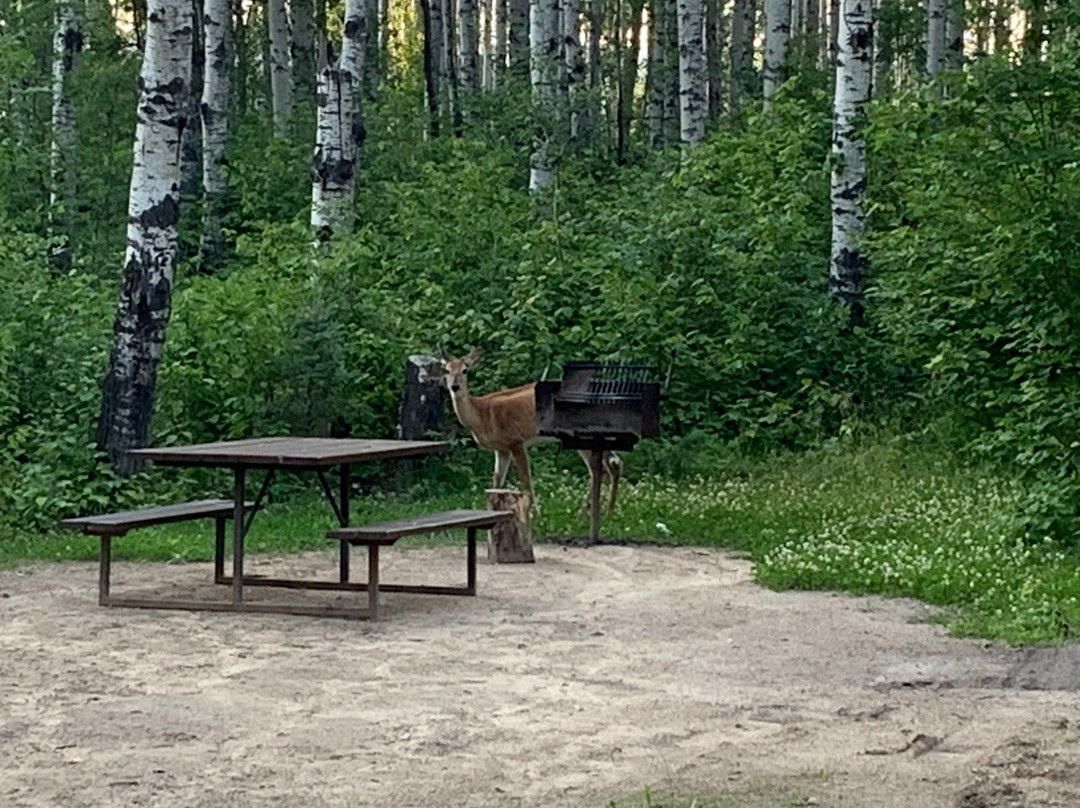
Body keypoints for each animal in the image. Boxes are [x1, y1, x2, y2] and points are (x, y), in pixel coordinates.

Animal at [425, 345, 622, 512]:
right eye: (446, 370)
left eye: (465, 370)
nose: (454, 387)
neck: (482, 415)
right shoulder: (502, 449)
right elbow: (497, 481)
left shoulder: (516, 441)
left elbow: (525, 479)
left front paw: (534, 512)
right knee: (612, 464)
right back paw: (603, 510)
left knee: (601, 468)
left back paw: (592, 511)